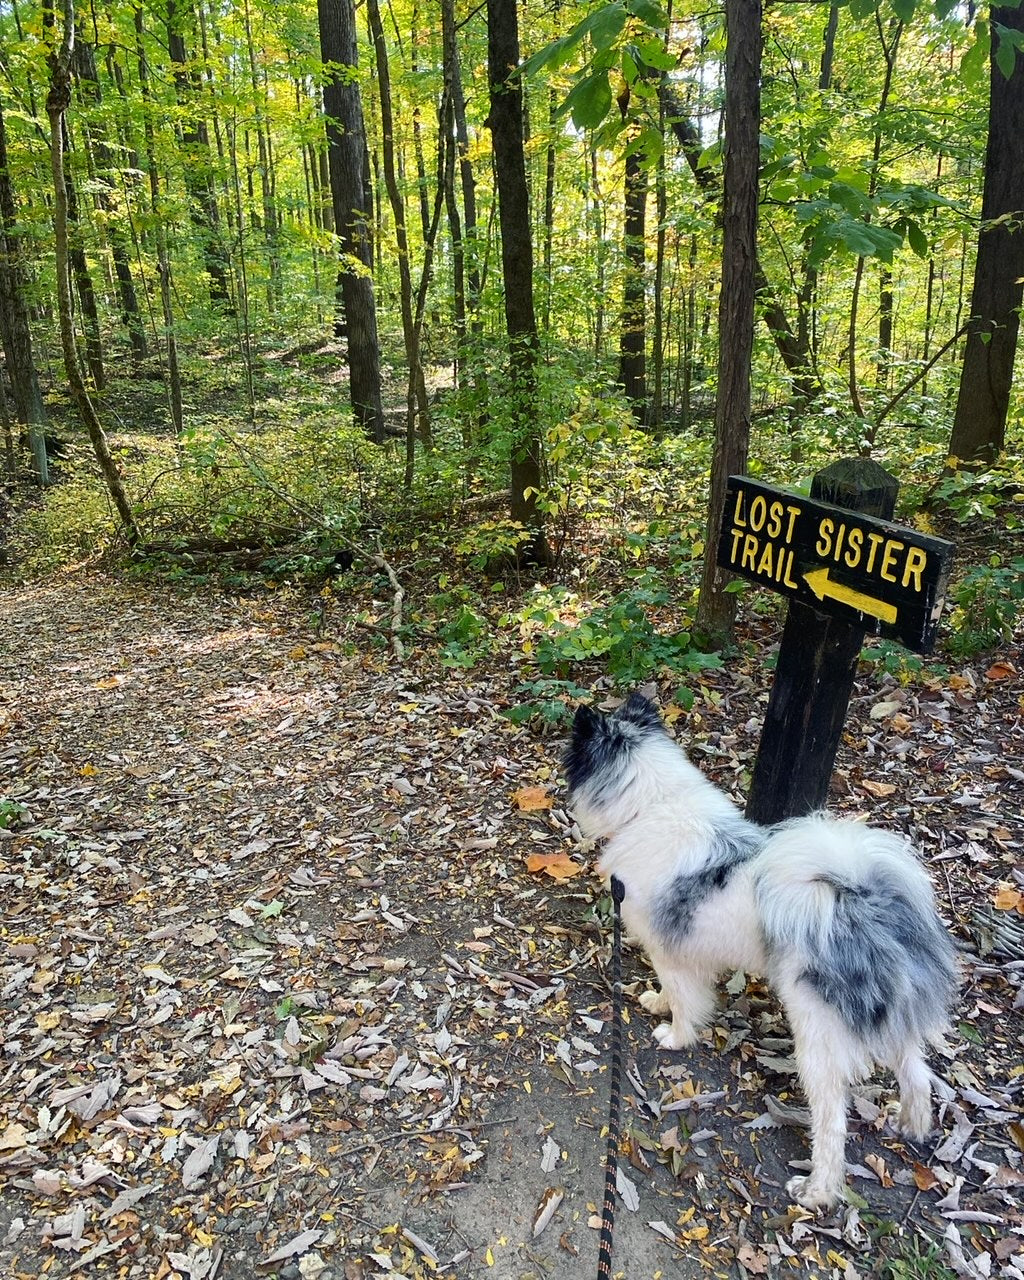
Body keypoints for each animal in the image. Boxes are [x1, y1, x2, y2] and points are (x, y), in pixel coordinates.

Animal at [563, 691, 957, 1208]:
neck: (650, 806)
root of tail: (864, 900)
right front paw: (658, 1003)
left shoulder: (669, 951)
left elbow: (684, 1000)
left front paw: (675, 1035)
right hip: (888, 1019)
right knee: (917, 1074)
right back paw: (911, 1124)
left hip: (817, 1034)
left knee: (832, 1122)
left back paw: (816, 1191)